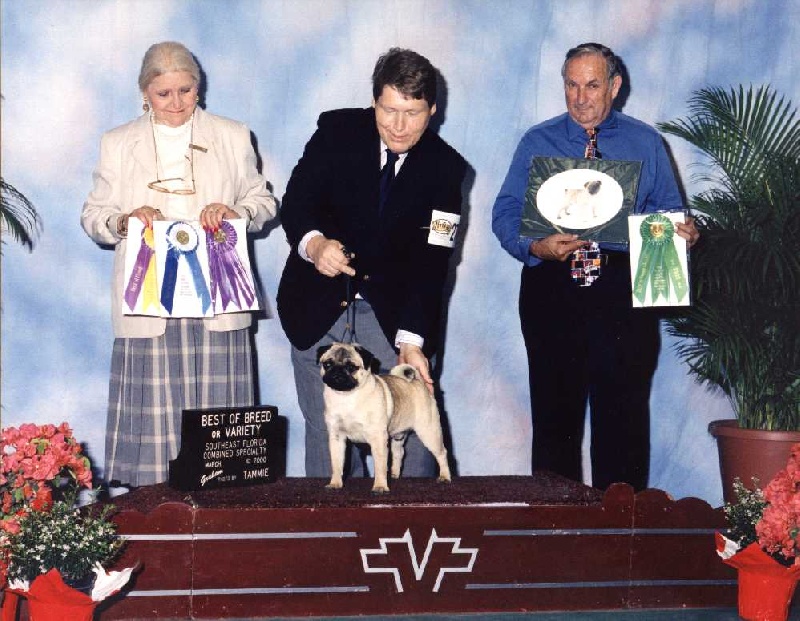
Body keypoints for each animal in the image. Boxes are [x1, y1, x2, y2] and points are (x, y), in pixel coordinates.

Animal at [316, 342, 451, 493]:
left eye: (351, 367)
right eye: (327, 364)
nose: (337, 373)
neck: (346, 397)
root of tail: (418, 382)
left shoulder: (378, 438)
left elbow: (380, 465)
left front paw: (380, 486)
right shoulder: (337, 437)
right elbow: (337, 463)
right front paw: (335, 483)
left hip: (428, 431)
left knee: (442, 453)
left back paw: (445, 477)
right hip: (398, 435)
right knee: (399, 453)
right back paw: (394, 474)